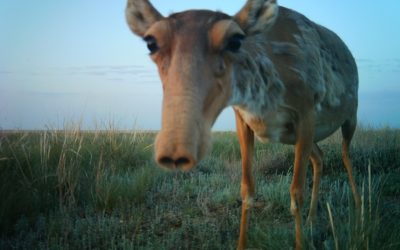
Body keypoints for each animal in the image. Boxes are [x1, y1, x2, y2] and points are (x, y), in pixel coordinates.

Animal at [126, 0, 360, 248]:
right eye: (151, 42)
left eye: (235, 40)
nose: (176, 150)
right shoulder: (244, 121)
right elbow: (247, 188)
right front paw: (241, 243)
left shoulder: (306, 112)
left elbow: (296, 192)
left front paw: (300, 243)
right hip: (301, 137)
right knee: (320, 158)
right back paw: (312, 218)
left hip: (349, 117)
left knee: (345, 154)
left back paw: (359, 206)